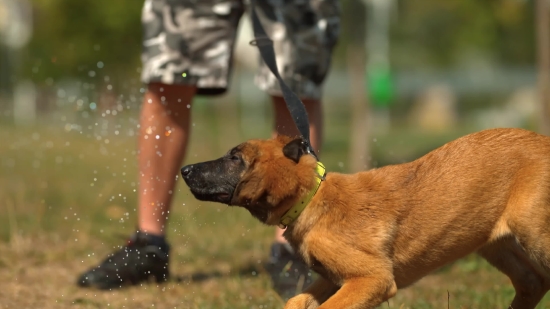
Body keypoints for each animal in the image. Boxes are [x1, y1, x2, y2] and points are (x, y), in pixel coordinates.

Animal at [183, 126, 550, 306]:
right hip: (496, 244)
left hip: (533, 234)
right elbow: (296, 301)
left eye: (235, 159)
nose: (185, 170)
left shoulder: (372, 279)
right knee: (533, 283)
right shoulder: (335, 278)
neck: (313, 199)